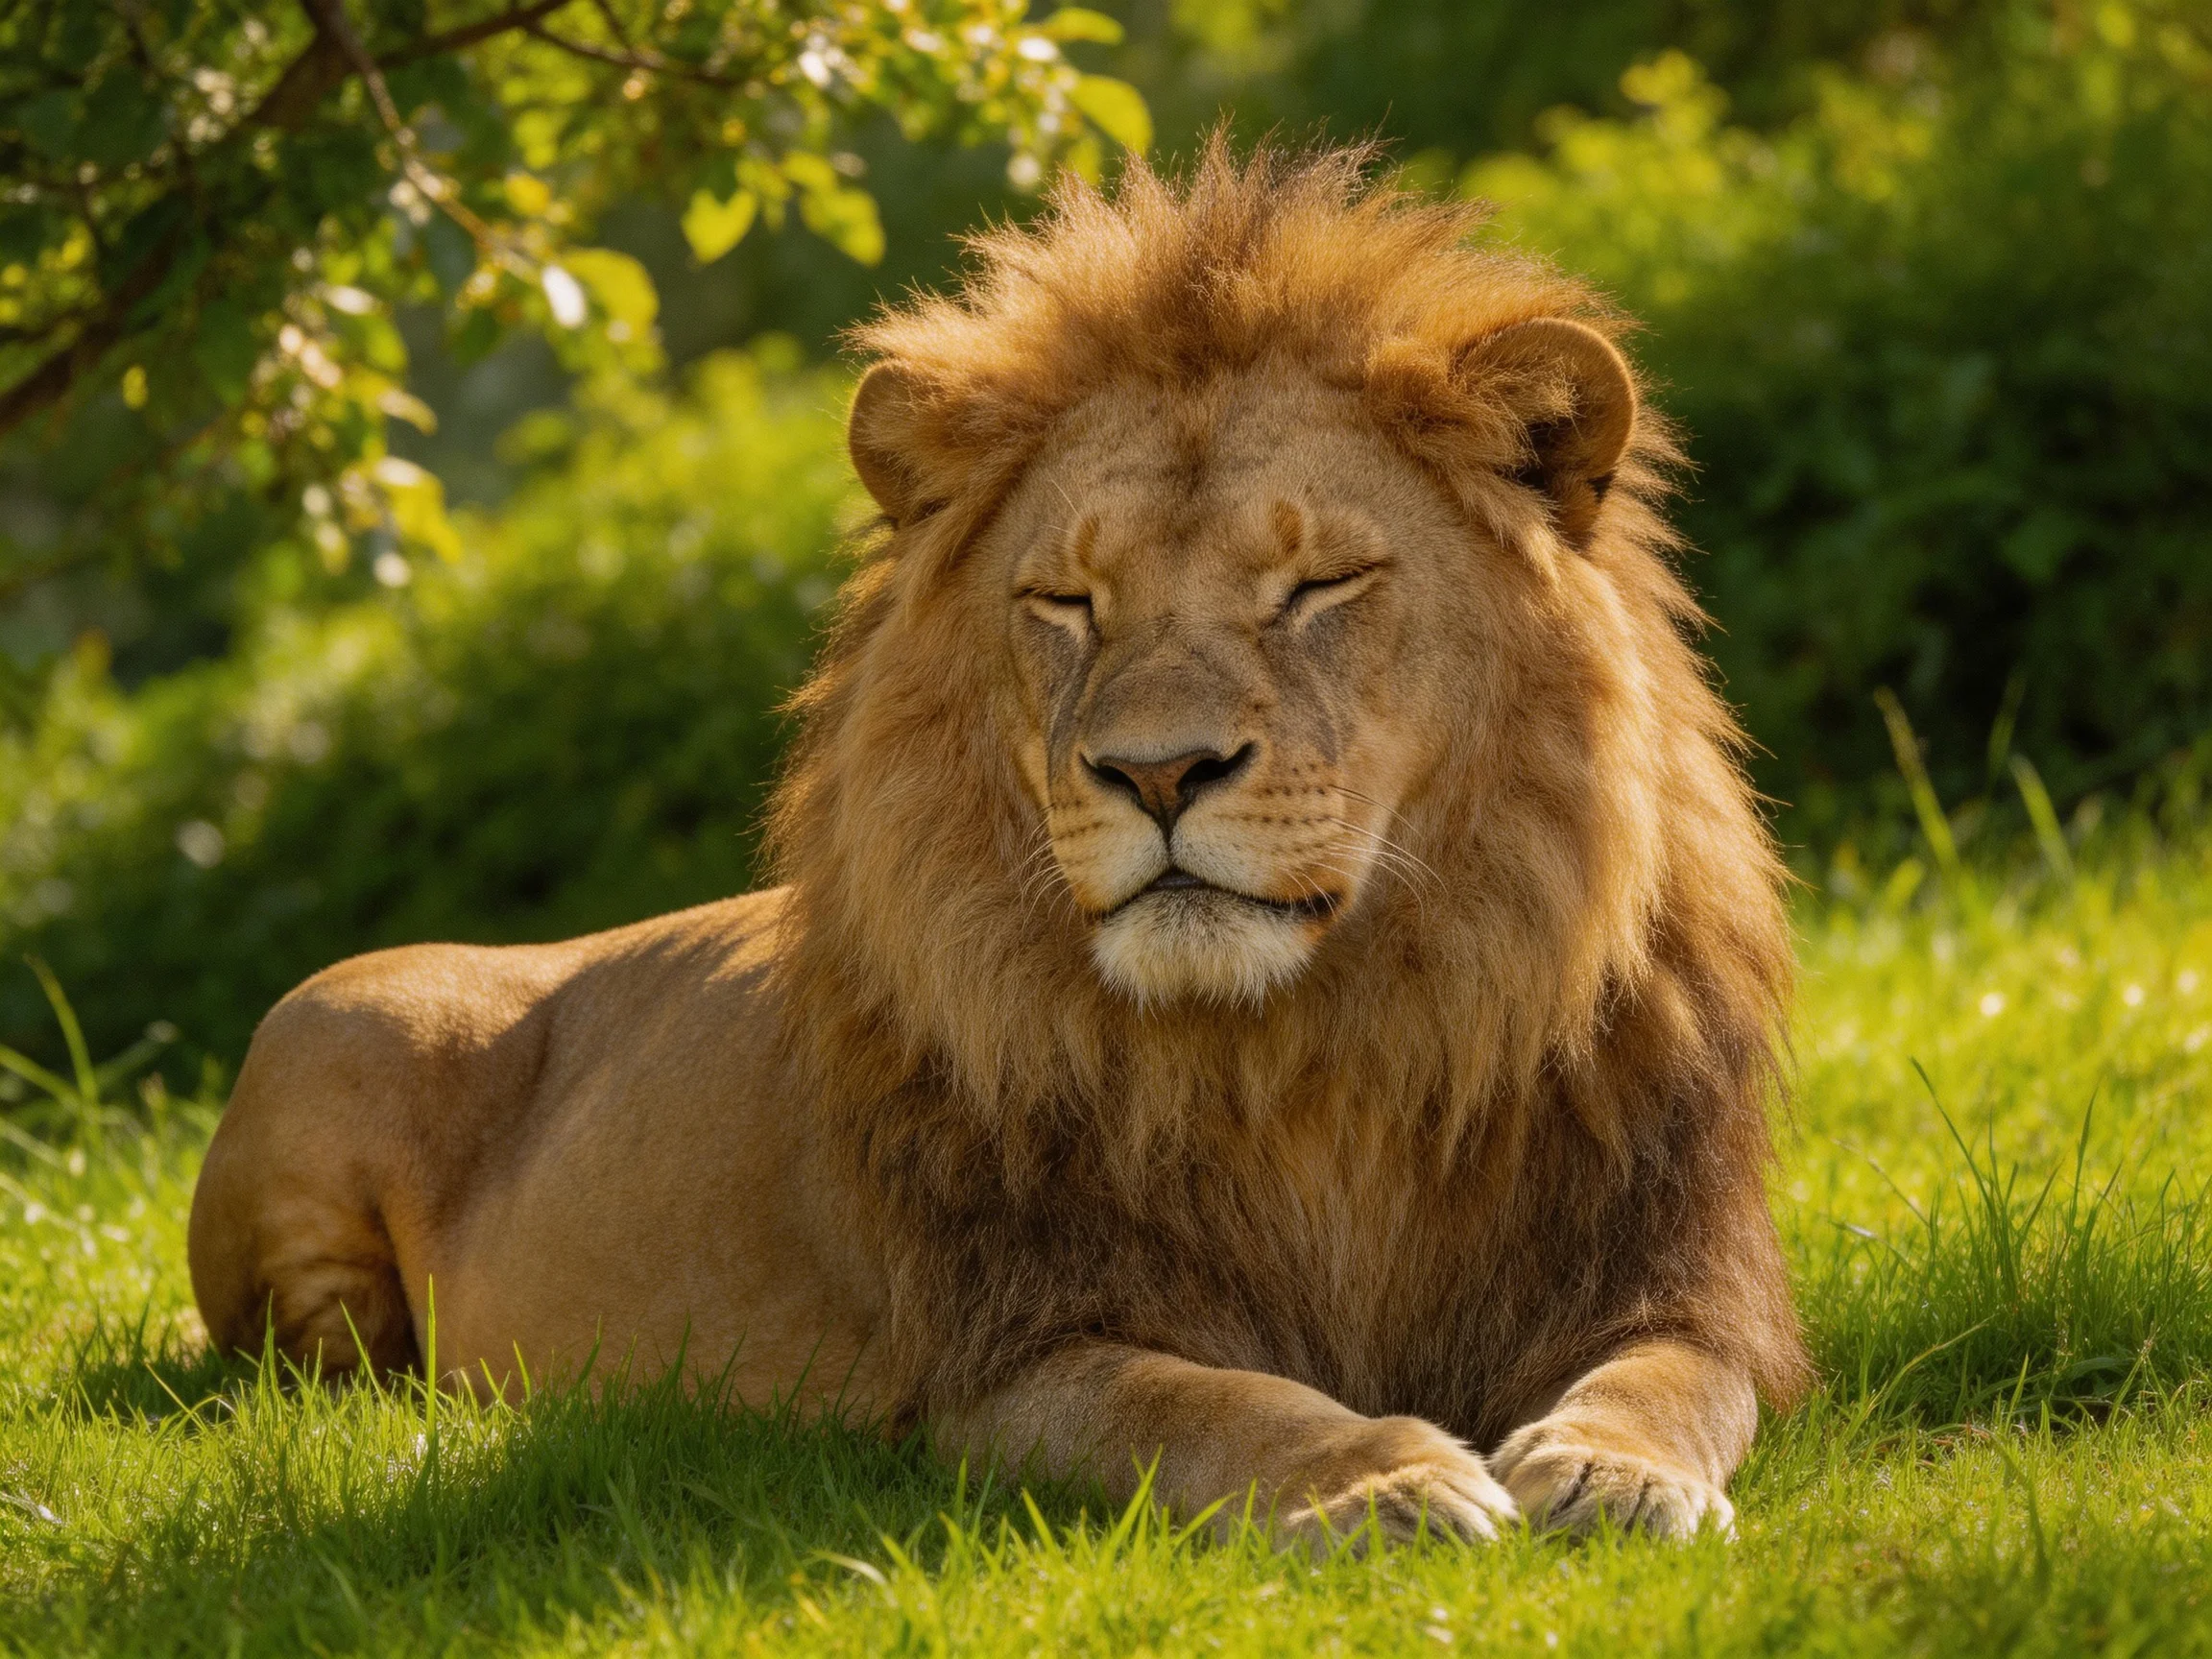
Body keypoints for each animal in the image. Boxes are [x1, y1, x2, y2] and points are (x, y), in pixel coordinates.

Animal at [188, 140, 1808, 1545]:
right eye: (1066, 604)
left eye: (1318, 585)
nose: (1158, 771)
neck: (1313, 1060)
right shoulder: (1003, 1362)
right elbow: (1209, 1406)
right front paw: (1381, 1481)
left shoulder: (1689, 1275)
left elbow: (1675, 1378)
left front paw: (1610, 1471)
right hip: (319, 1040)